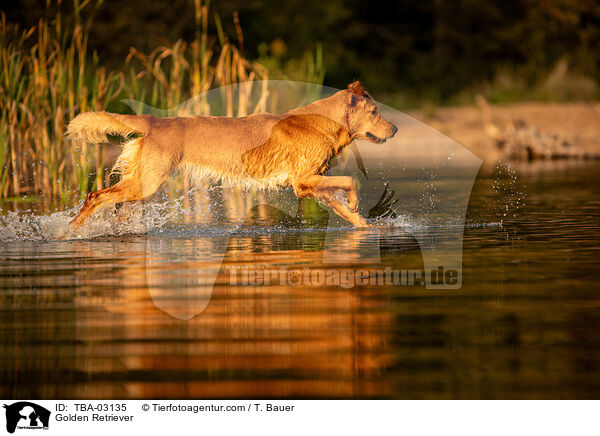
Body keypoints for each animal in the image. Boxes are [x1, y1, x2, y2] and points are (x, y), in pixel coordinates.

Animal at [67, 80, 398, 228]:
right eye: (375, 112)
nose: (395, 128)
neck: (325, 121)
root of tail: (154, 120)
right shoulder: (303, 180)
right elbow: (350, 182)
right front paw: (356, 203)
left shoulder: (314, 183)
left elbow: (345, 209)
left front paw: (366, 228)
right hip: (147, 183)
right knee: (94, 196)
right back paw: (70, 232)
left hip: (141, 183)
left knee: (113, 204)